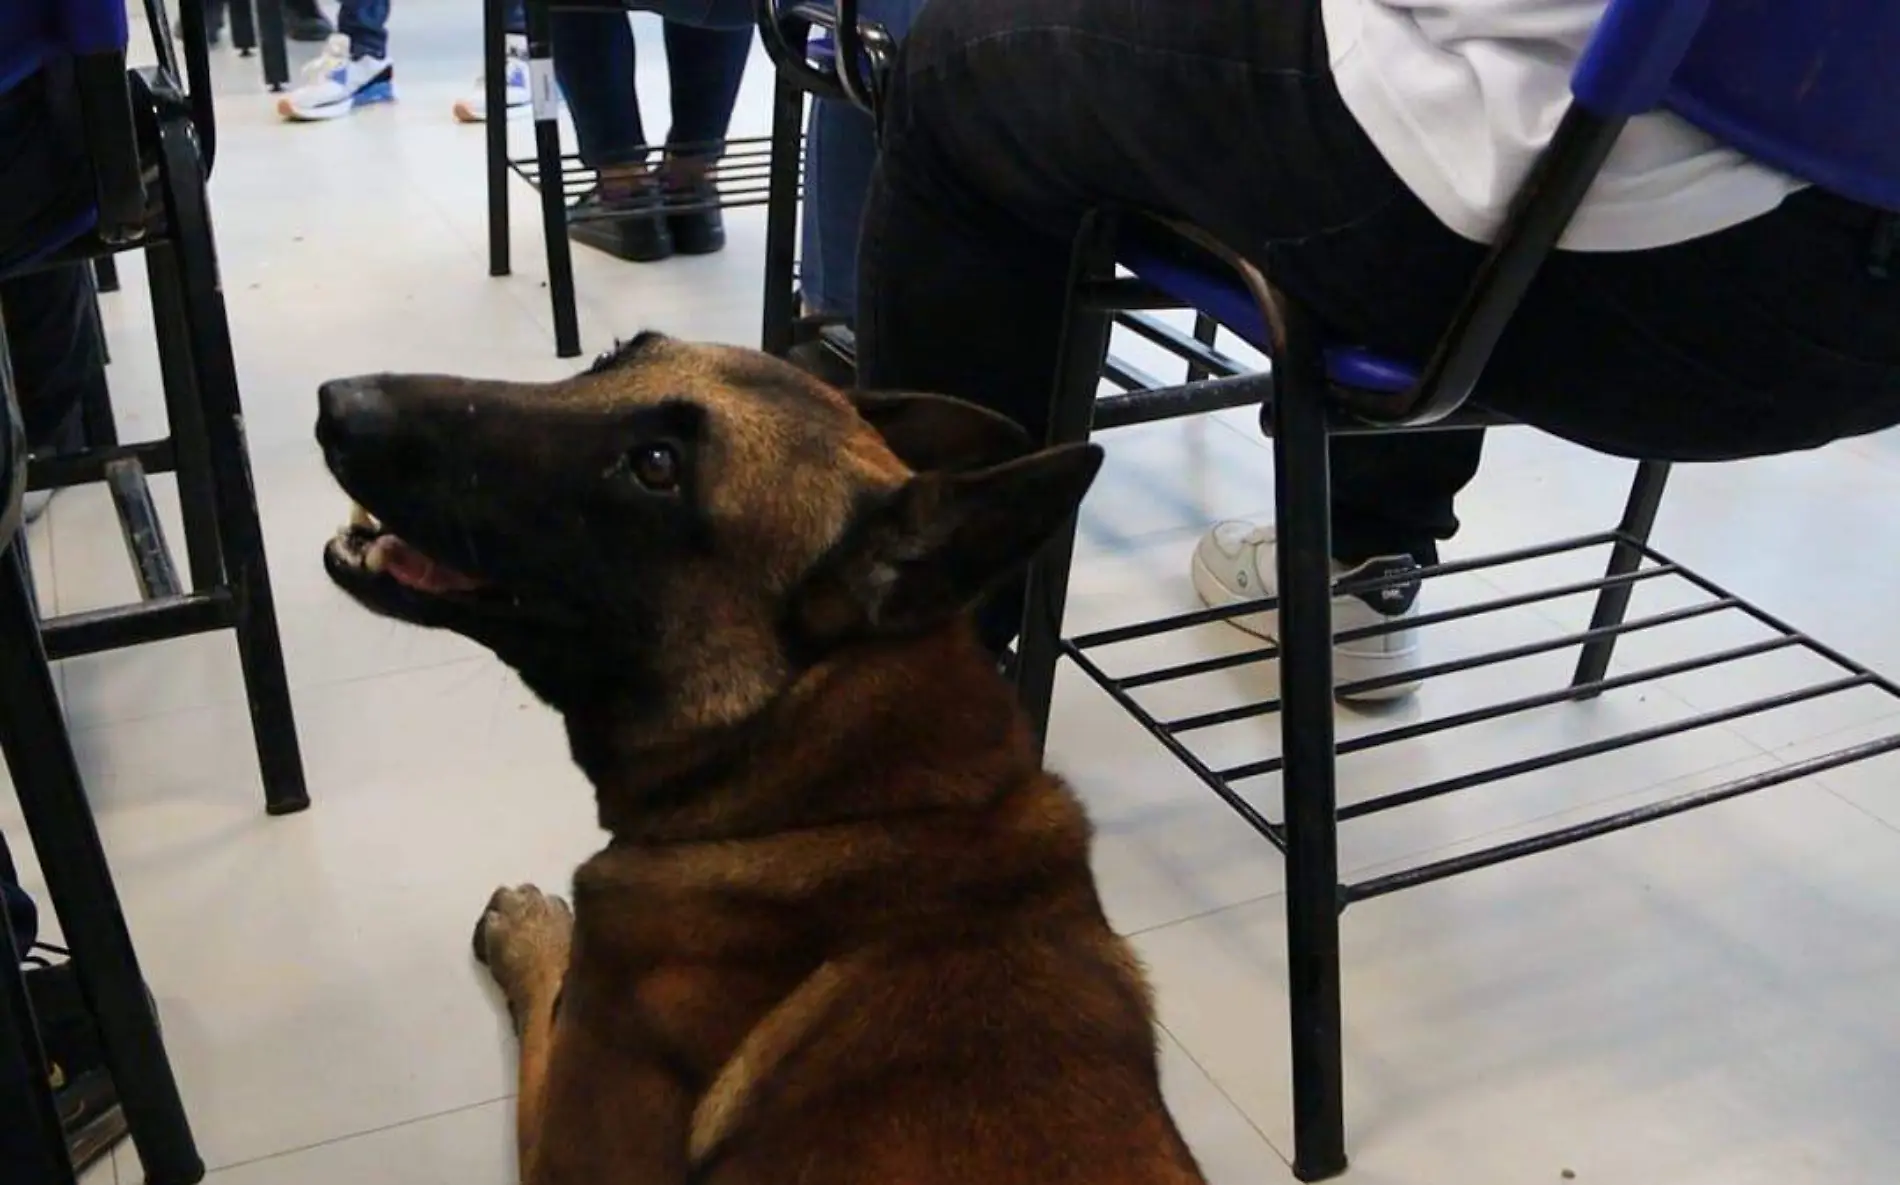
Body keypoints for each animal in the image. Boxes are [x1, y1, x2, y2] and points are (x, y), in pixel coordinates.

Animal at [311, 334, 1200, 1185]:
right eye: (608, 358)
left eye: (657, 466)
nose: (336, 405)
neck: (852, 804)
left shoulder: (573, 1153)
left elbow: (547, 1010)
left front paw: (531, 932)